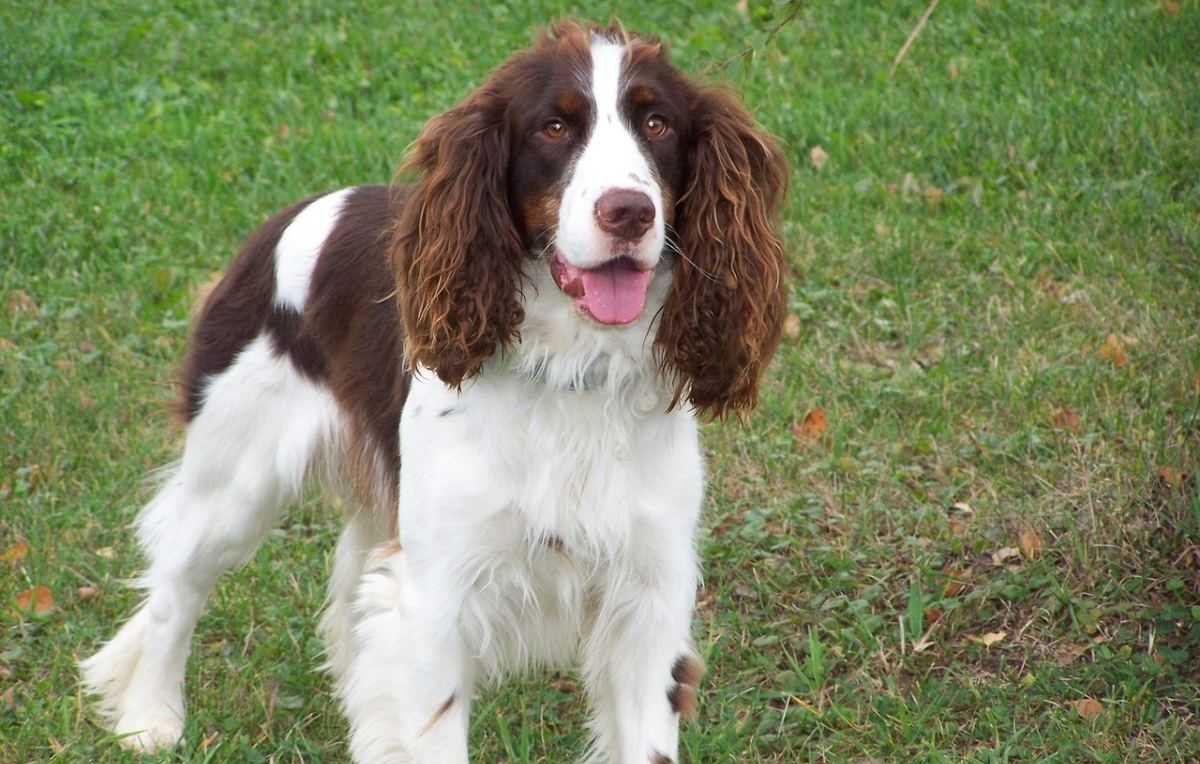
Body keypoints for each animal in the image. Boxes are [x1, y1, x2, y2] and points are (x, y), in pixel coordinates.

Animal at [75, 19, 787, 762]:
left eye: (657, 123)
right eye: (554, 127)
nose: (629, 211)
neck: (574, 369)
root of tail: (289, 218)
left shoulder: (649, 598)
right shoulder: (438, 598)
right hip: (234, 481)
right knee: (176, 587)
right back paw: (150, 717)